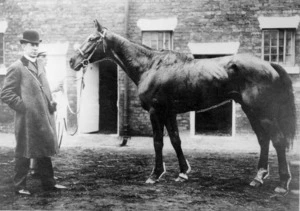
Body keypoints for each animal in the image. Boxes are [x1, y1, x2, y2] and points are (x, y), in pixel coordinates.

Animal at [69, 20, 296, 194]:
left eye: (92, 39)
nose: (72, 61)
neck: (151, 66)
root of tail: (268, 65)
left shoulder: (156, 112)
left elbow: (158, 142)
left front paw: (155, 175)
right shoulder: (169, 113)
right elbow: (176, 140)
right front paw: (183, 173)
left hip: (263, 113)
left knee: (277, 140)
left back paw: (282, 184)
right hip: (252, 112)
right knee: (263, 139)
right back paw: (258, 177)